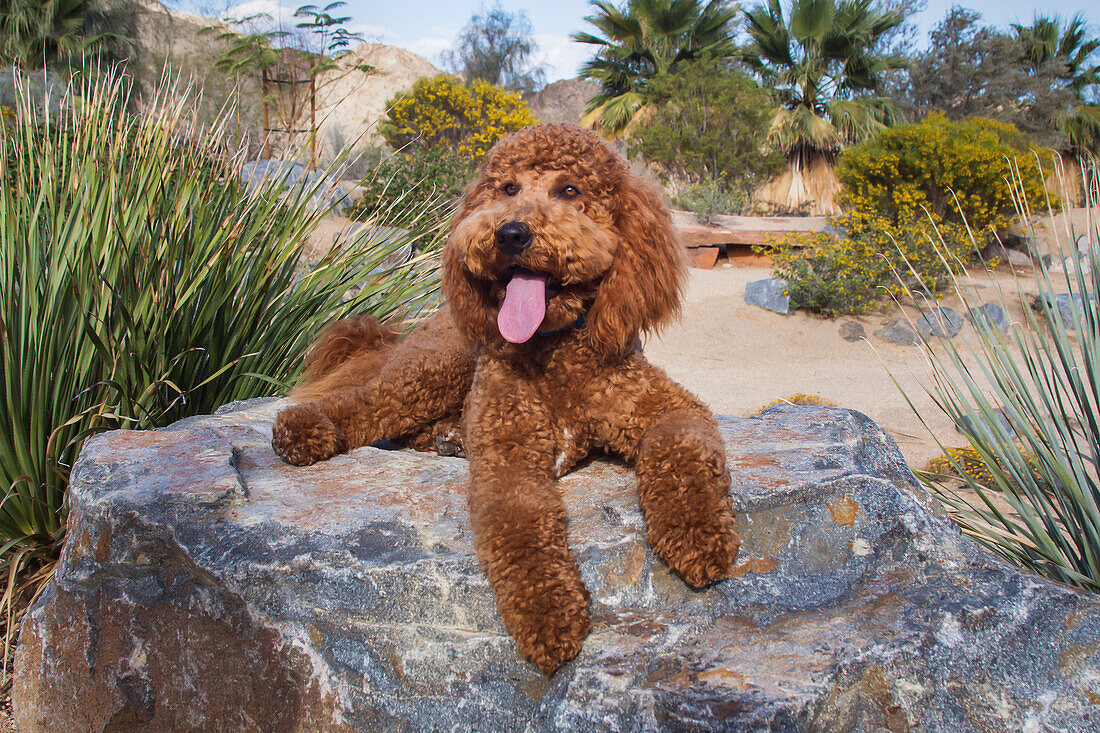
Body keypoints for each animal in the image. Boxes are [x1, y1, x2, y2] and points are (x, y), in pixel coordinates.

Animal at [270, 121, 743, 673]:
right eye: (508, 188)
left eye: (570, 190)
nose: (511, 233)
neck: (554, 349)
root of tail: (408, 330)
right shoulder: (509, 447)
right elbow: (519, 523)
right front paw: (548, 614)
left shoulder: (667, 406)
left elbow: (682, 447)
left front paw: (697, 536)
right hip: (436, 367)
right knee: (364, 403)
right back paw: (306, 428)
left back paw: (447, 436)